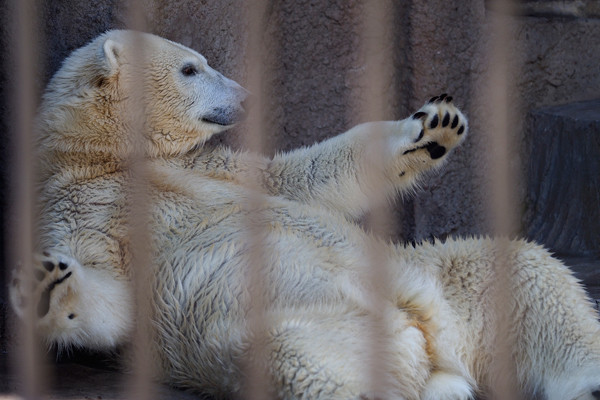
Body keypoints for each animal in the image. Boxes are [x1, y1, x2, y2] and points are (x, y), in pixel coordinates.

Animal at [7, 30, 600, 400]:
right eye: (190, 68)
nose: (246, 96)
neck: (105, 160)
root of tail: (440, 351)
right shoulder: (79, 208)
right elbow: (114, 302)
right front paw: (47, 284)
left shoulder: (214, 168)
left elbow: (307, 176)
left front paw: (433, 127)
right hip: (294, 330)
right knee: (314, 367)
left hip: (447, 281)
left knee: (528, 276)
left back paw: (587, 379)